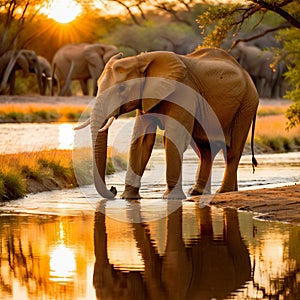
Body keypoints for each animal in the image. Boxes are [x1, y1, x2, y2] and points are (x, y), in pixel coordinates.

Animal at [77, 47, 258, 199]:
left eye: (122, 89)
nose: (113, 189)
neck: (141, 60)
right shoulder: (146, 97)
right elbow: (142, 141)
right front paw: (128, 198)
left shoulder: (184, 93)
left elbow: (173, 137)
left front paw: (171, 198)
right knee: (205, 149)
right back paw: (200, 192)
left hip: (246, 105)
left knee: (232, 150)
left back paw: (223, 191)